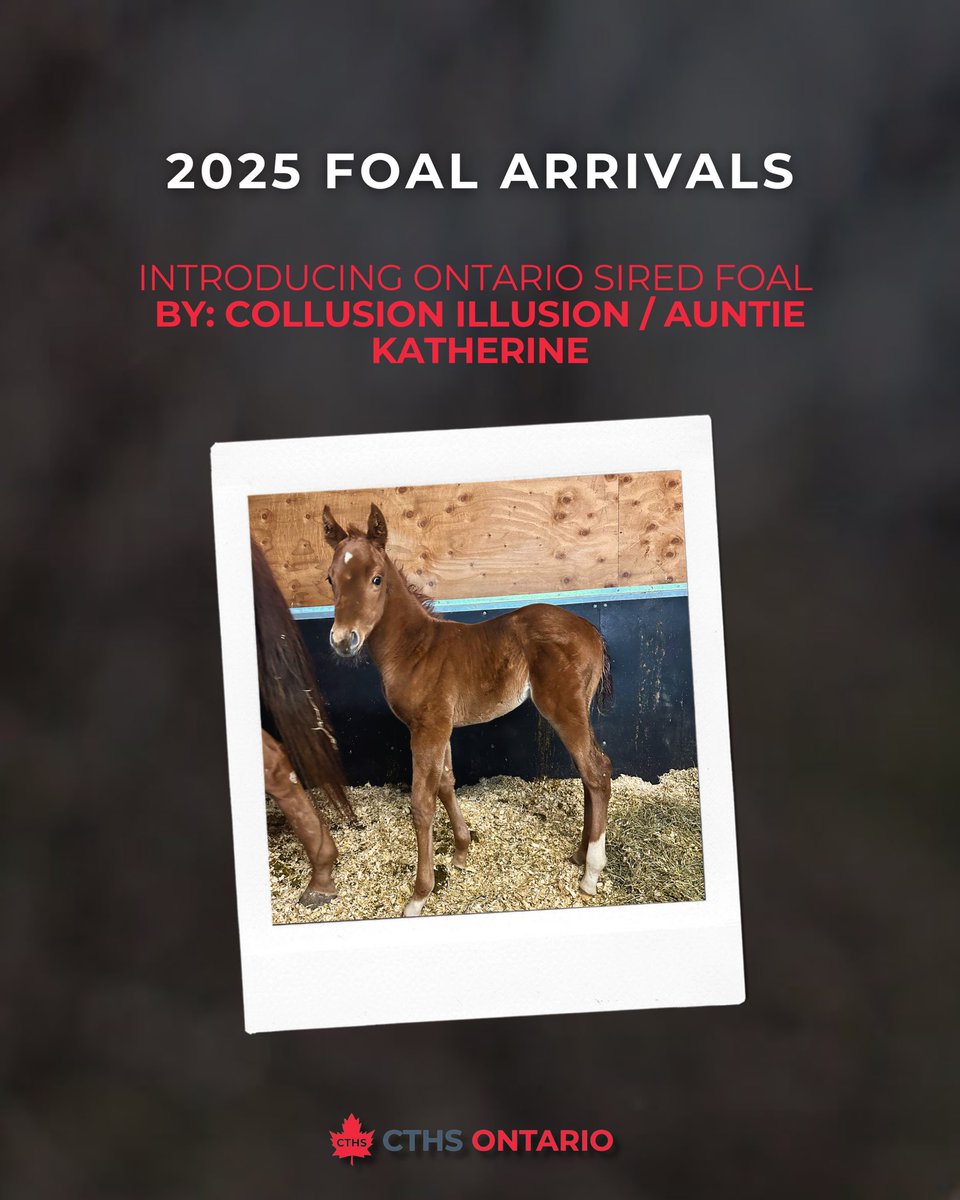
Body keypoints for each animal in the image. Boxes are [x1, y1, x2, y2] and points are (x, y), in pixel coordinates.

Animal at [321, 503, 613, 917]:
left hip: (564, 708)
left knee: (596, 771)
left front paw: (418, 896)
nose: (343, 640)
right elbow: (446, 783)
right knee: (590, 773)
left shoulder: (427, 729)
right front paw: (461, 851)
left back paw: (590, 874)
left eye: (376, 579)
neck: (414, 650)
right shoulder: (439, 727)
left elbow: (421, 804)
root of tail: (591, 630)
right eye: (330, 579)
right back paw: (579, 855)